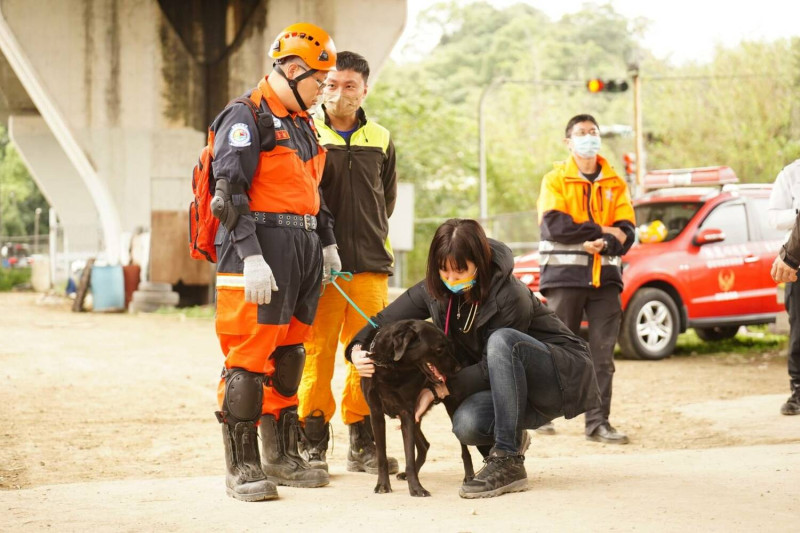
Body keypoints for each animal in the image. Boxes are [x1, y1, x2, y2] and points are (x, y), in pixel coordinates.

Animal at [360, 316, 466, 494]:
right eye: (439, 348)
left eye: (449, 345)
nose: (458, 369)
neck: (391, 366)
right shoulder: (377, 414)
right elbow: (382, 456)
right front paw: (382, 485)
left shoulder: (407, 413)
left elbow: (408, 455)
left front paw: (416, 488)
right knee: (424, 445)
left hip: (451, 410)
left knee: (464, 450)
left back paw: (470, 477)